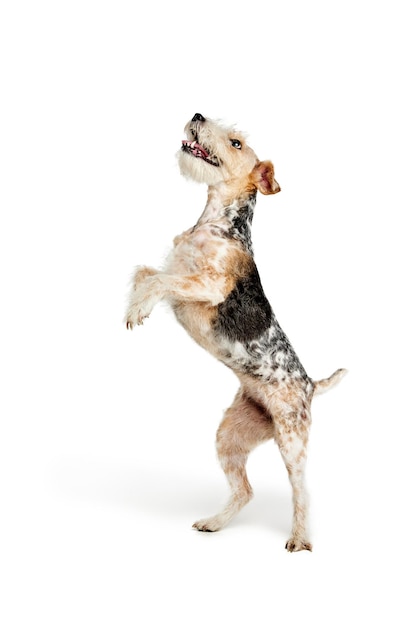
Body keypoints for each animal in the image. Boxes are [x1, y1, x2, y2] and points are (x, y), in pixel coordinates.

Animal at [125, 113, 346, 552]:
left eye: (237, 143)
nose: (197, 116)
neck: (218, 222)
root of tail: (311, 385)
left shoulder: (207, 286)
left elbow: (158, 281)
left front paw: (139, 308)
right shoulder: (175, 269)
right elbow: (145, 273)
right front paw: (133, 308)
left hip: (292, 440)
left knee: (301, 493)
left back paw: (299, 540)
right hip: (230, 435)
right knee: (244, 491)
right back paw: (213, 523)